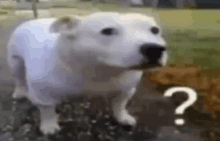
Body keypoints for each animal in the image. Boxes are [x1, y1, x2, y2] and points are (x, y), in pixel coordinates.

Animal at [6, 12, 168, 134]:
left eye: (155, 30)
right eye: (107, 31)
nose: (154, 49)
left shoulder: (126, 89)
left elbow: (119, 104)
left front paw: (122, 117)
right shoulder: (41, 94)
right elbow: (47, 111)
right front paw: (49, 126)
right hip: (15, 62)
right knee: (19, 78)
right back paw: (19, 92)